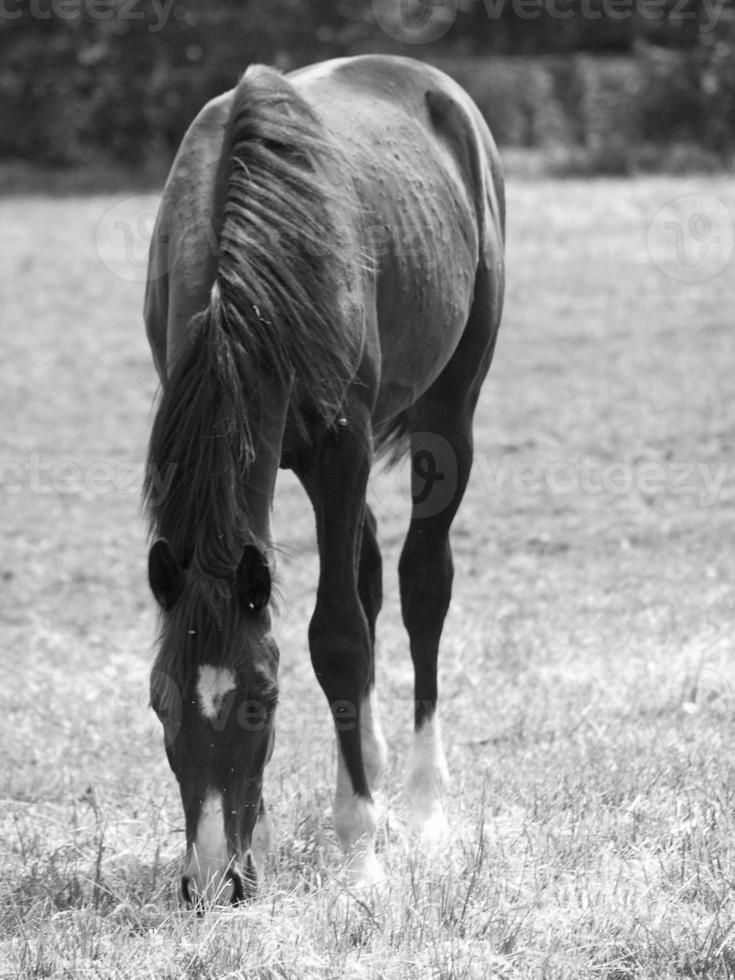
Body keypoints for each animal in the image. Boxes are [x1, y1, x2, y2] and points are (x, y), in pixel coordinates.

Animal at [142, 53, 506, 904]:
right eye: (158, 701)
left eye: (261, 702)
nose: (213, 882)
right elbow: (339, 615)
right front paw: (271, 841)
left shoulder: (340, 449)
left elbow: (337, 636)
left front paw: (360, 854)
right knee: (370, 570)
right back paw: (367, 770)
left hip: (449, 411)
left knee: (420, 582)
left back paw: (422, 806)